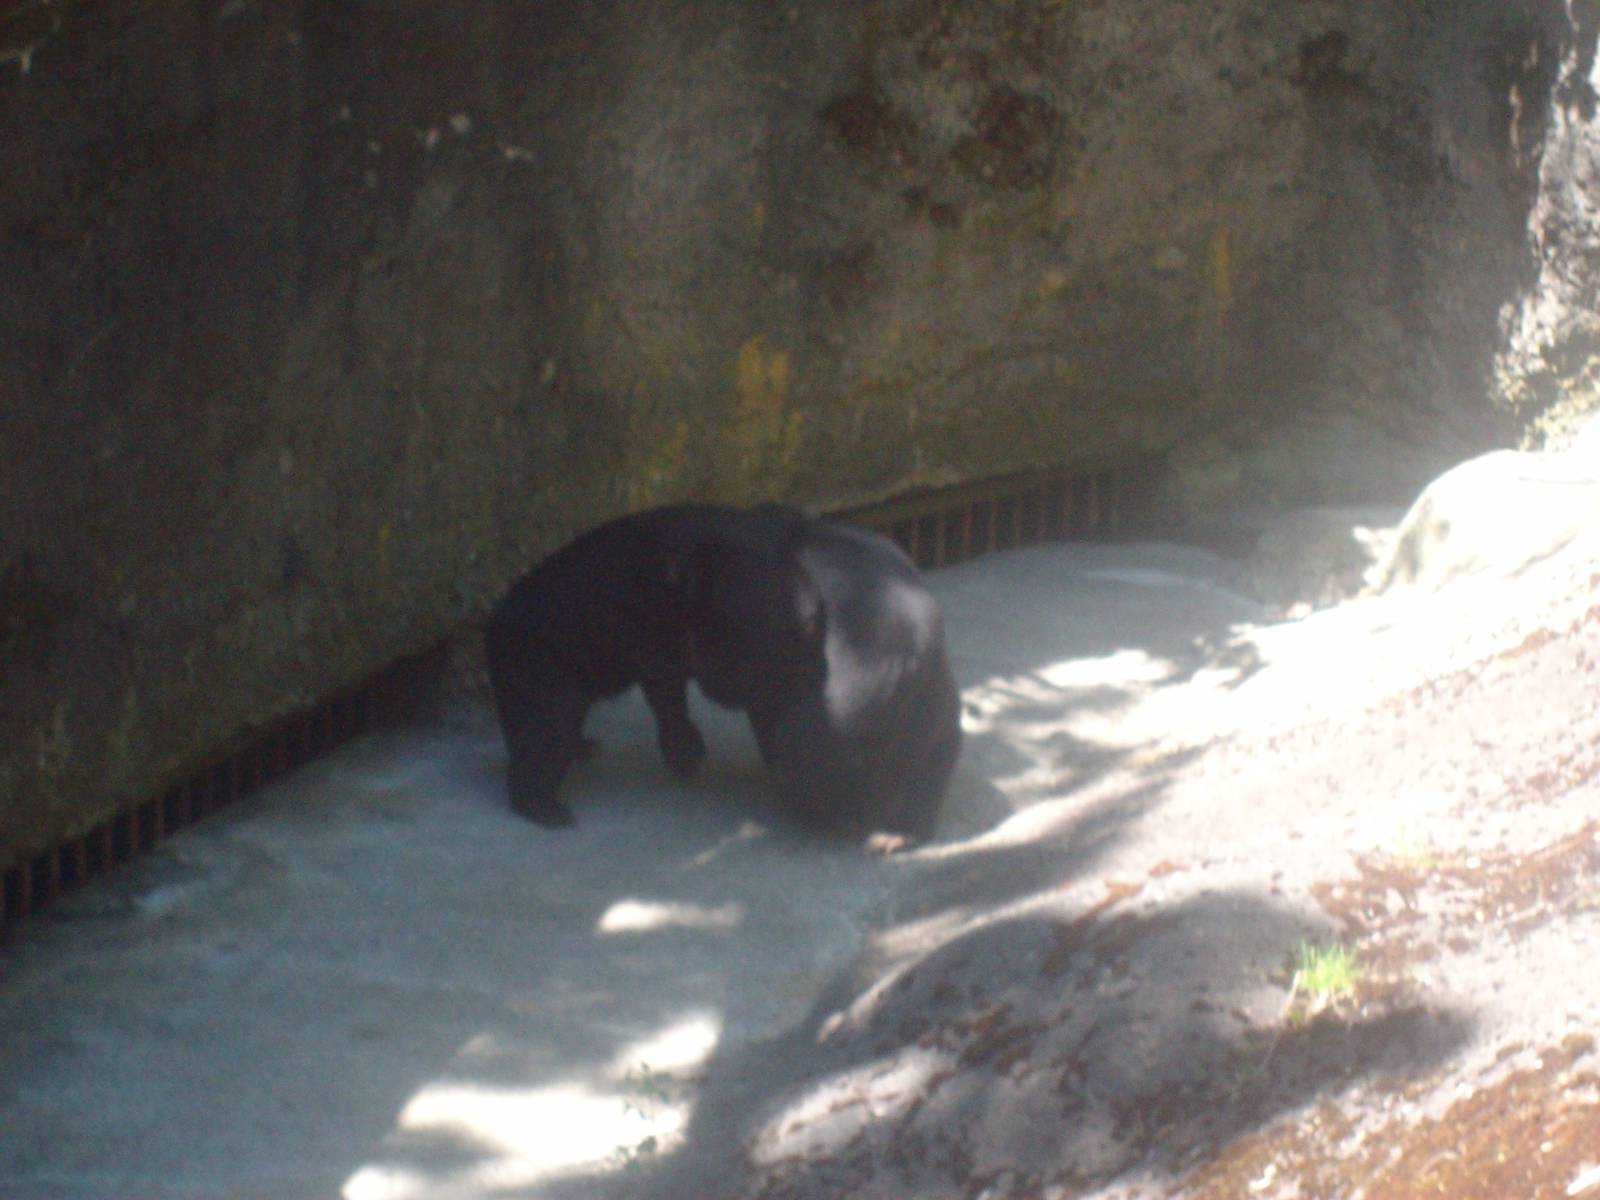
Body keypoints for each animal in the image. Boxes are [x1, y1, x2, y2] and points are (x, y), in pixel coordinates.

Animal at [483, 504, 826, 827]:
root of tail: (493, 628)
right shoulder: (653, 622)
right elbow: (674, 684)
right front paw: (687, 753)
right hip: (538, 665)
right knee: (547, 733)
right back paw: (544, 805)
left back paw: (583, 748)